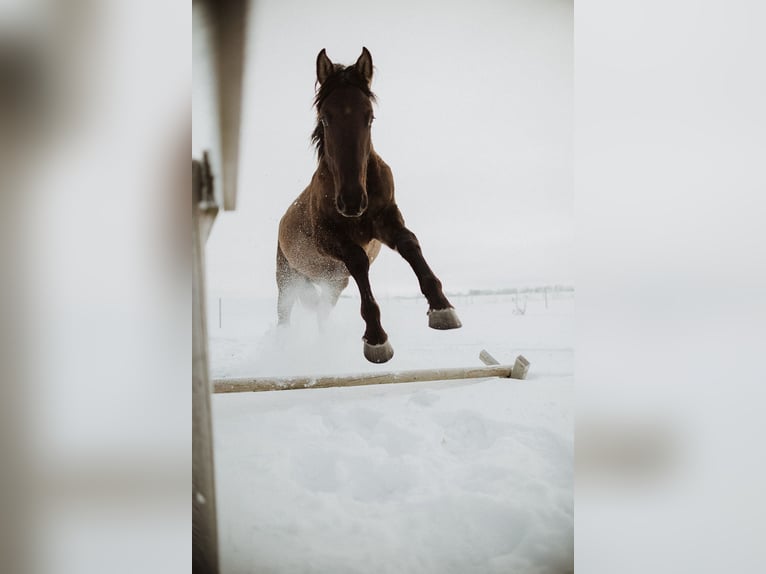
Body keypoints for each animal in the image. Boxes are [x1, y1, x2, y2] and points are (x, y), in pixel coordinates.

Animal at [276, 49, 462, 364]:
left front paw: (441, 308)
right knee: (284, 314)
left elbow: (409, 243)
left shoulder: (386, 220)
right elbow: (358, 259)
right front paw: (376, 339)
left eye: (369, 116)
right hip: (287, 280)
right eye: (326, 118)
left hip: (334, 283)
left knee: (322, 311)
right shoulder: (328, 238)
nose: (351, 201)